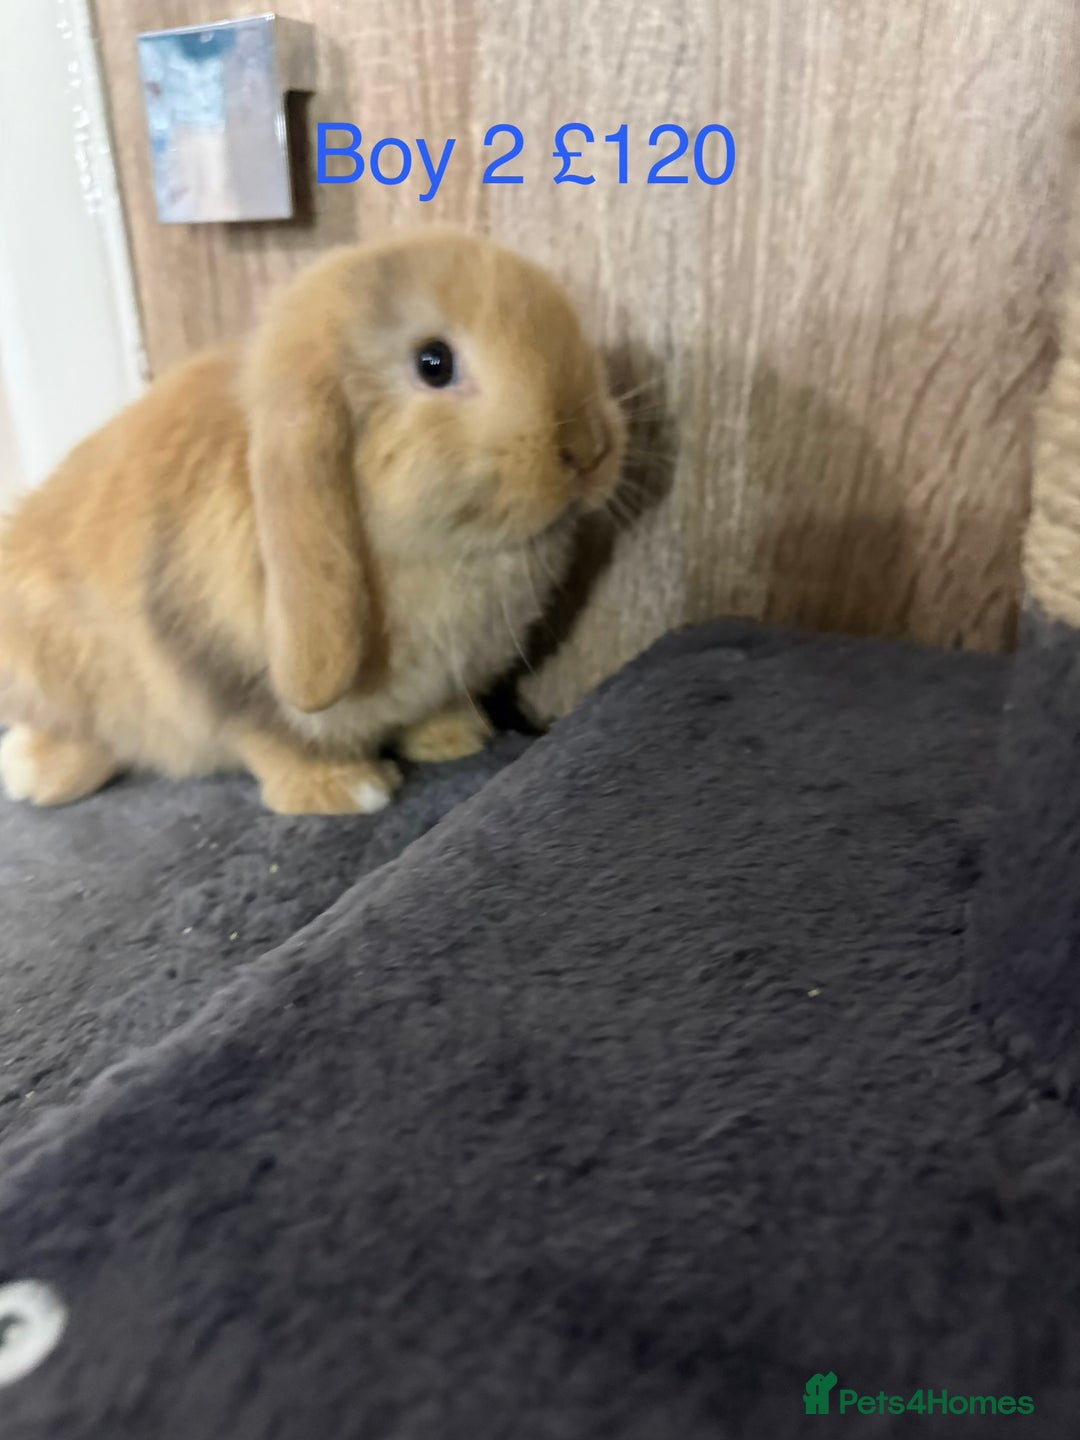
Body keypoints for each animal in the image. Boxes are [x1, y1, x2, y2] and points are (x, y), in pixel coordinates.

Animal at [0, 230, 625, 814]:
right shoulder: (227, 677)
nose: (590, 448)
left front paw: (456, 739)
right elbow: (276, 740)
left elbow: (436, 711)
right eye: (434, 363)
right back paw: (34, 775)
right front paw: (349, 789)